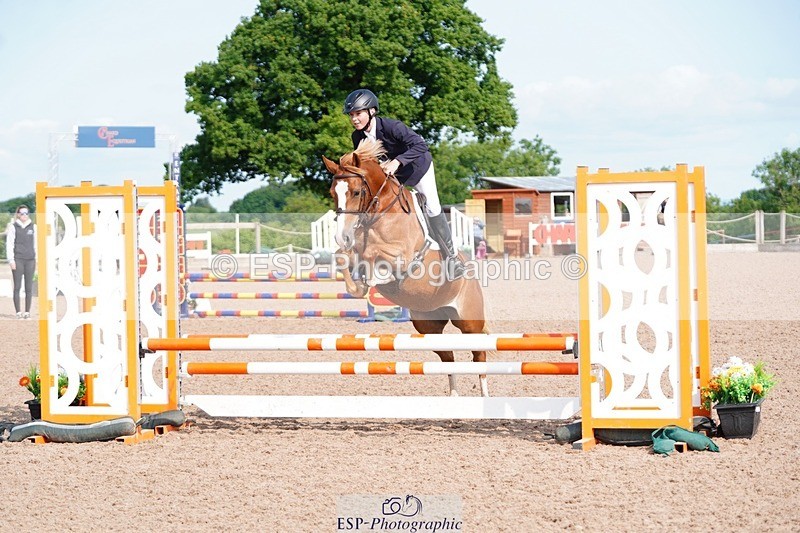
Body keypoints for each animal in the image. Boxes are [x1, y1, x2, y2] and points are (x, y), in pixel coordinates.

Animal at [322, 140, 491, 396]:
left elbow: (373, 255)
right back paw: (454, 395)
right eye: (333, 193)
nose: (343, 237)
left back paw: (484, 394)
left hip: (469, 321)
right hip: (428, 324)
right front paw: (360, 284)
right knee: (448, 356)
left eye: (356, 192)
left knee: (479, 352)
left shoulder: (403, 256)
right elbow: (343, 258)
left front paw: (374, 278)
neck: (381, 212)